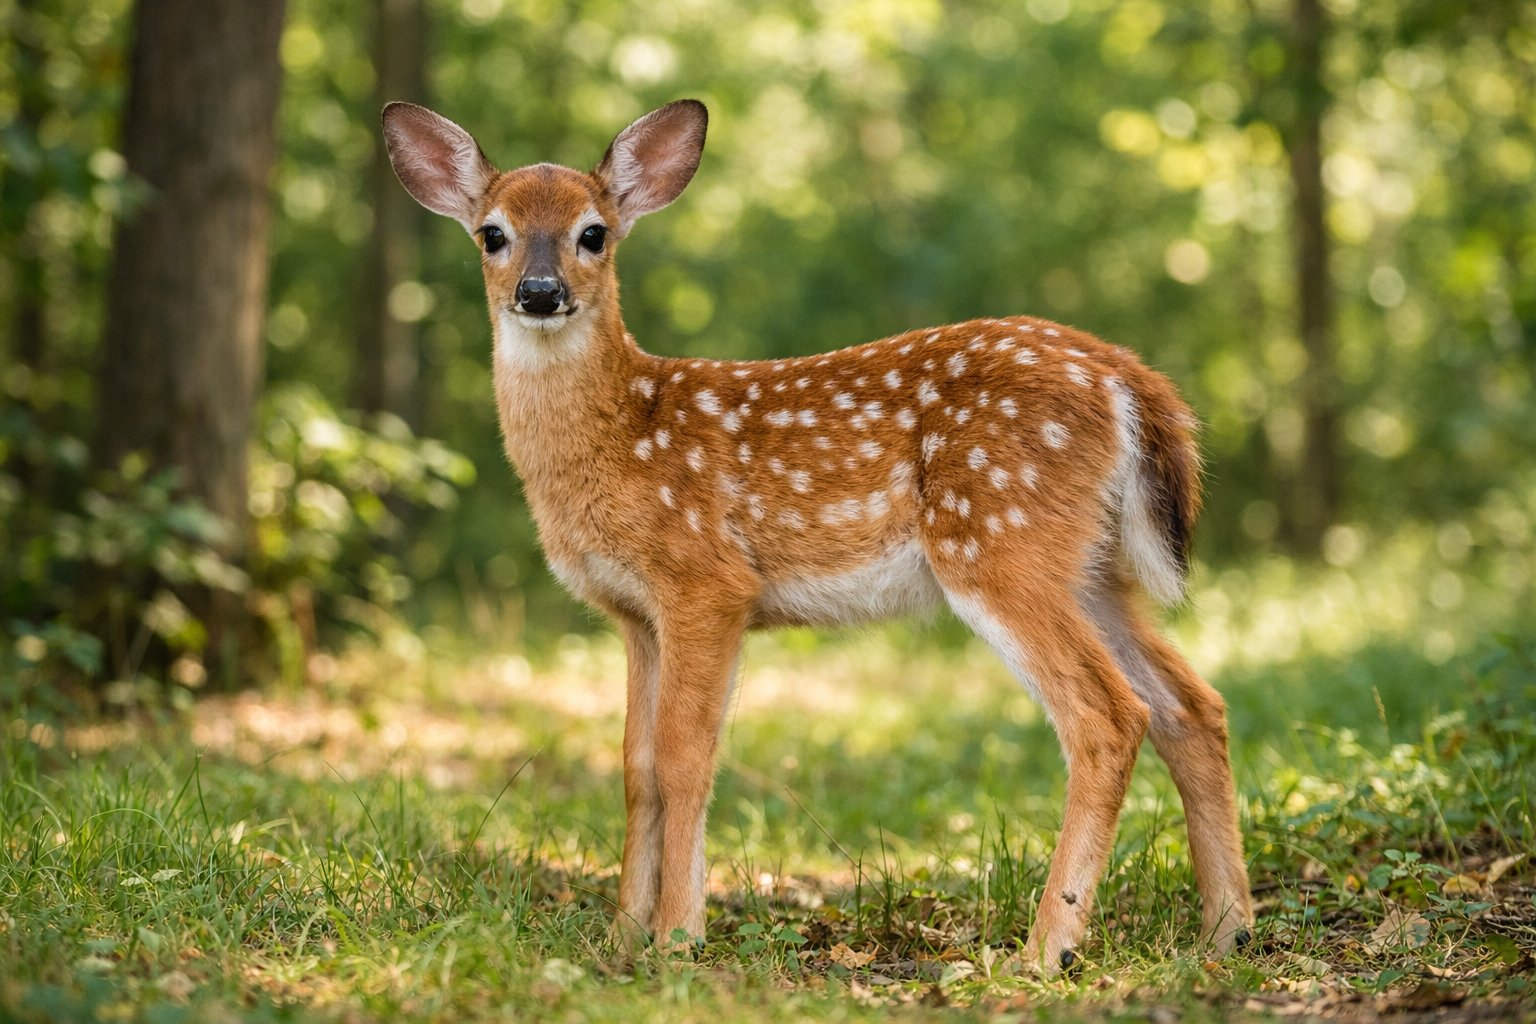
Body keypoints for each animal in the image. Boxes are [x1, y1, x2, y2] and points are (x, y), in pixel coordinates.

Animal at [382, 98, 1253, 973]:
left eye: (593, 233)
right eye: (491, 233)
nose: (539, 291)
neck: (618, 438)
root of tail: (1130, 378)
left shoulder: (706, 580)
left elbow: (685, 760)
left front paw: (677, 936)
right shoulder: (634, 614)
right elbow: (635, 766)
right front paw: (622, 934)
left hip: (998, 538)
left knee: (1108, 716)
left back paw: (1046, 950)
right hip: (1093, 567)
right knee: (1191, 704)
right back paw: (1225, 931)